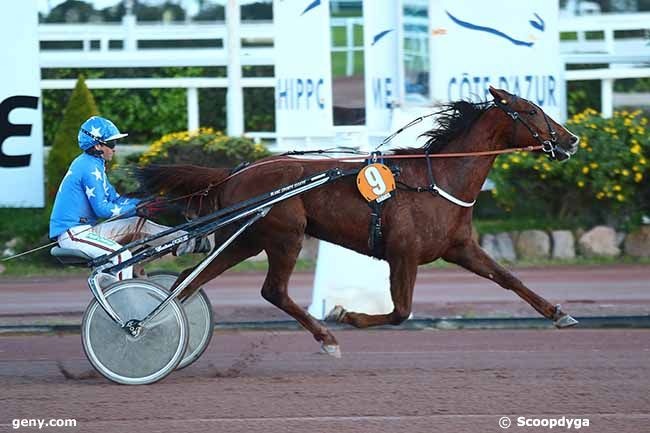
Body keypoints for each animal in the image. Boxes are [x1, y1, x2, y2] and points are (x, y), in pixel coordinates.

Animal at [135, 86, 576, 356]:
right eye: (531, 110)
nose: (570, 140)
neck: (437, 179)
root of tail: (234, 173)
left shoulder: (460, 247)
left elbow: (509, 278)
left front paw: (558, 313)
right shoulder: (403, 253)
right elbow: (400, 312)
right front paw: (347, 315)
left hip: (245, 238)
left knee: (188, 279)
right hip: (285, 236)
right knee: (272, 291)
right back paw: (326, 336)